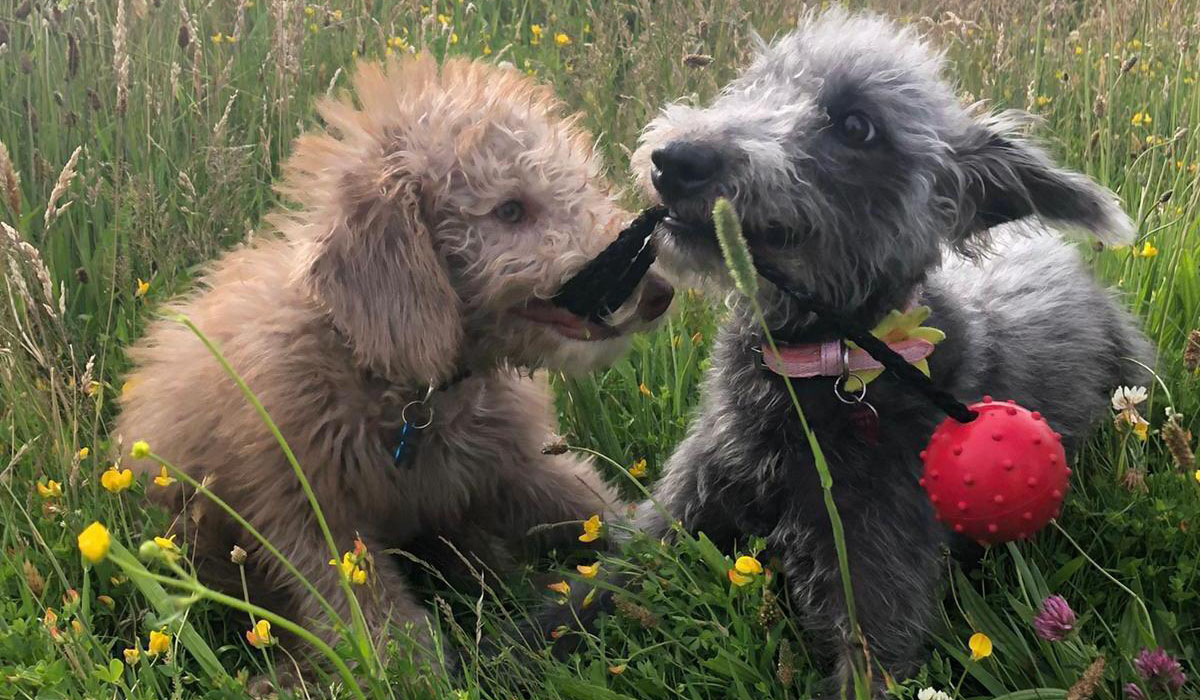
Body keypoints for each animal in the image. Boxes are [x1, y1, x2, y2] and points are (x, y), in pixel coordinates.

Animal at [115, 54, 672, 667]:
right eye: (509, 209)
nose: (659, 293)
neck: (405, 389)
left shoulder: (518, 464)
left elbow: (599, 509)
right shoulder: (311, 514)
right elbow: (382, 626)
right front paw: (420, 671)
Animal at [552, 8, 1152, 696]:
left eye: (858, 126)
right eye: (753, 83)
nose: (675, 158)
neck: (819, 370)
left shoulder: (875, 588)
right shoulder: (675, 511)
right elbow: (578, 597)